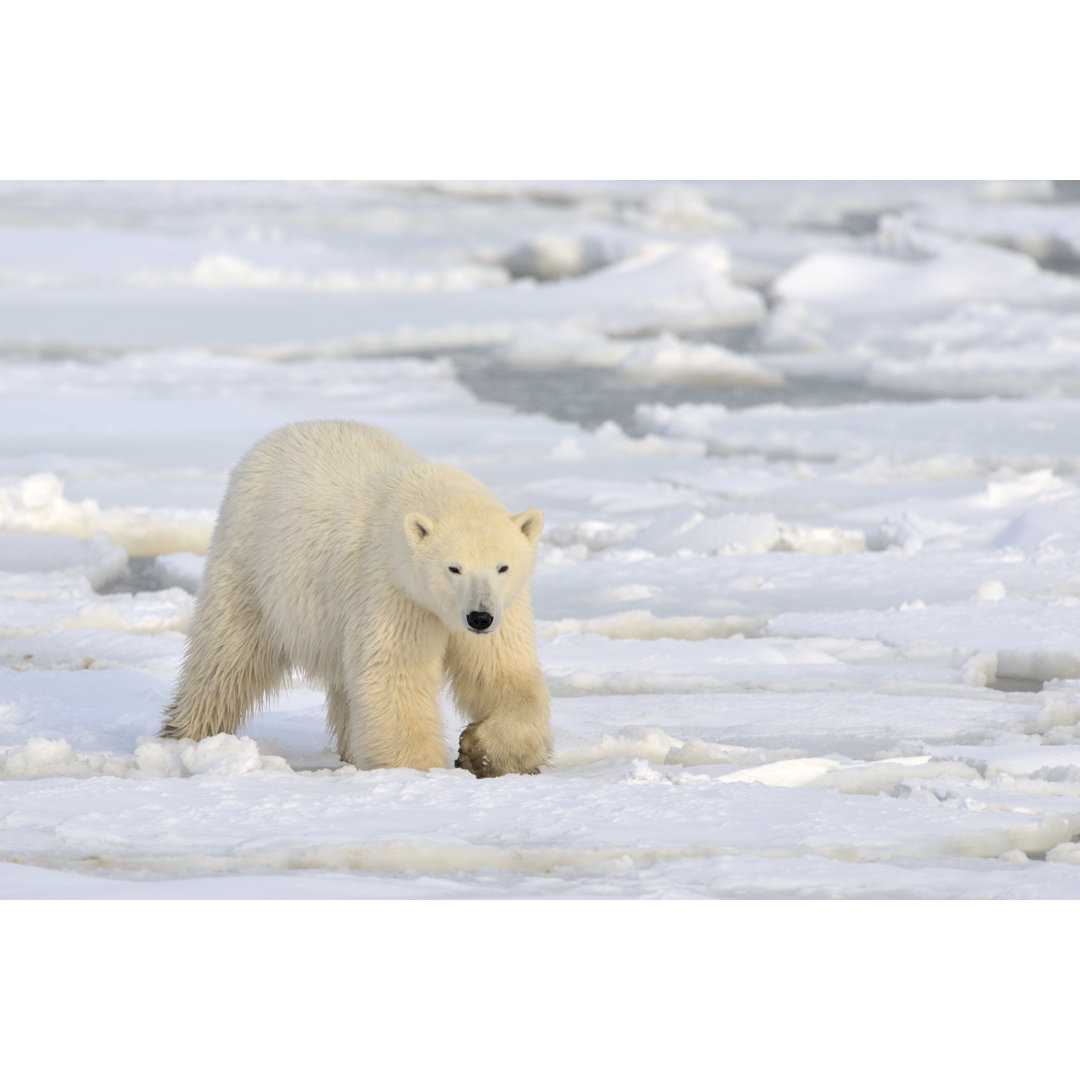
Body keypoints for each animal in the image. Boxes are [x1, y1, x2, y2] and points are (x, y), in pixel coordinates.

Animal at [159, 419, 552, 777]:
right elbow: (395, 677)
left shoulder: (504, 606)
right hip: (251, 562)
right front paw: (422, 771)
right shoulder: (392, 589)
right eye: (453, 568)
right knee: (227, 656)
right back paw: (186, 734)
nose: (479, 617)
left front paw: (480, 752)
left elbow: (504, 674)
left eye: (502, 567)